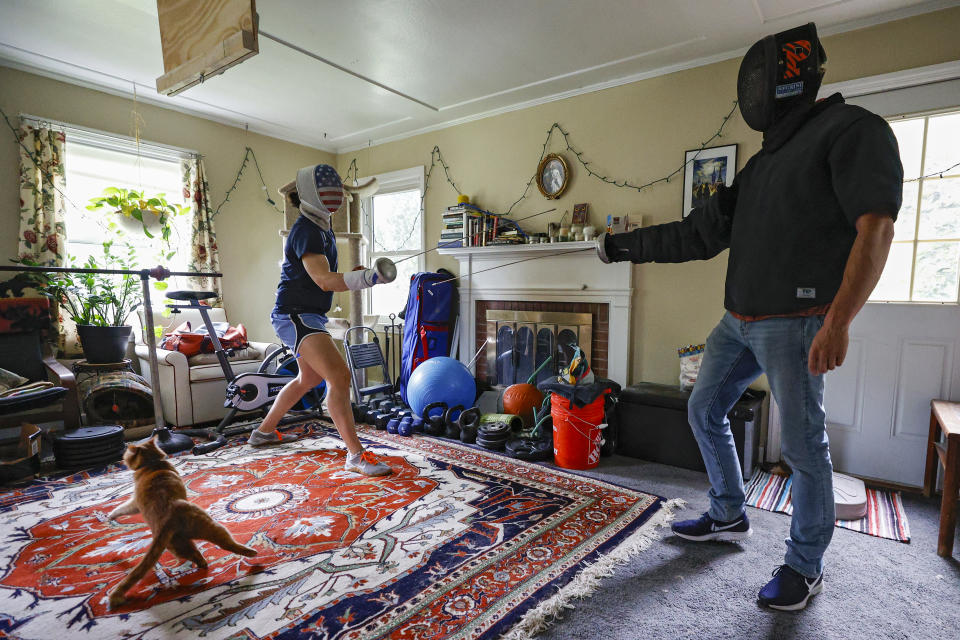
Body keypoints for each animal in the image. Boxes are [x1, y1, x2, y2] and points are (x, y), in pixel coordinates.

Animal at [106, 438, 256, 608]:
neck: (152, 463)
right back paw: (248, 554)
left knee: (207, 551)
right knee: (210, 550)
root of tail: (168, 517)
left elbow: (122, 507)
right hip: (188, 537)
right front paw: (110, 516)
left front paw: (110, 515)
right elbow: (121, 508)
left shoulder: (134, 502)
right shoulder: (134, 503)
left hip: (181, 542)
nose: (123, 455)